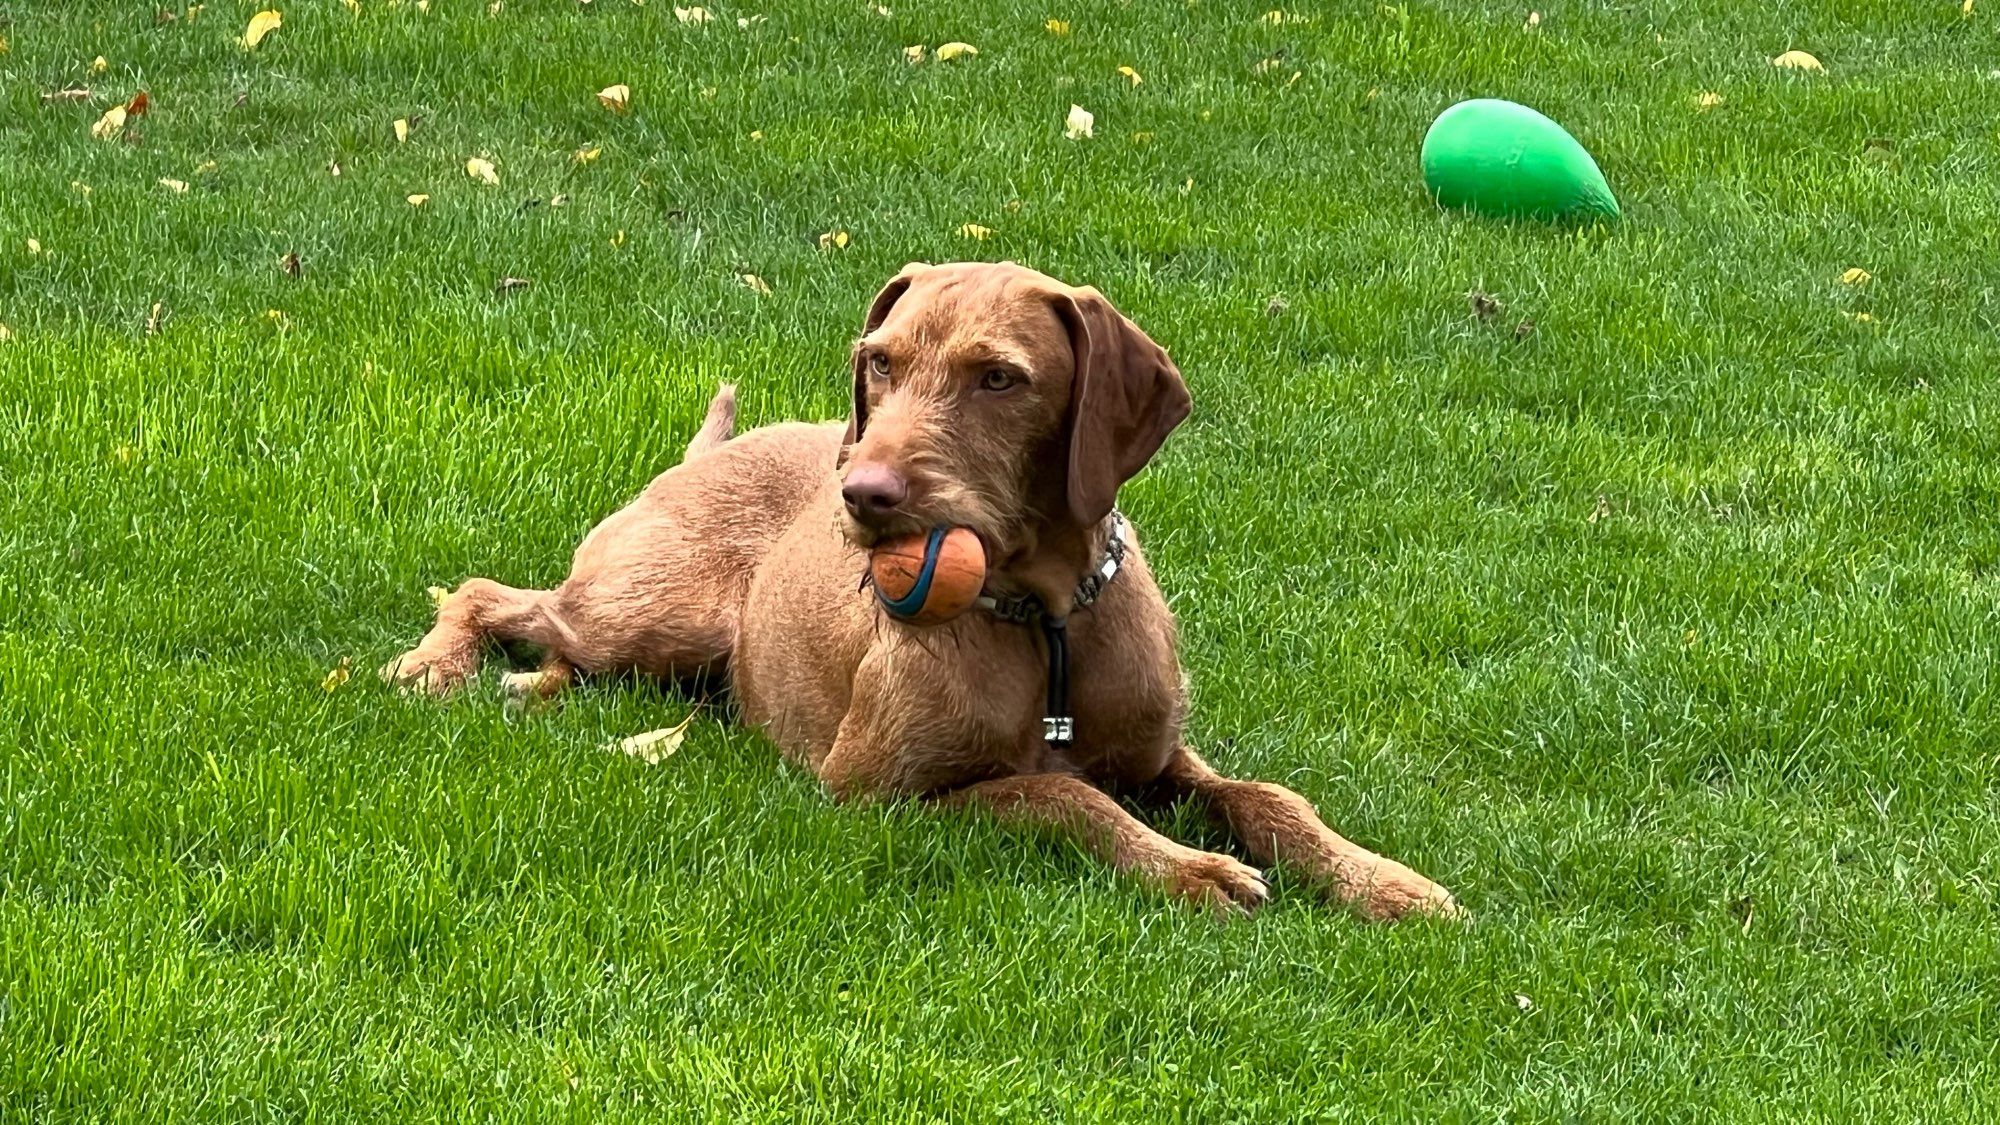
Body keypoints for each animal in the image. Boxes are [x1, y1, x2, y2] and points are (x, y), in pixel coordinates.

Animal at [382, 262, 1464, 920]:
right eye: (879, 361)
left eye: (999, 378)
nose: (861, 495)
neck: (1044, 621)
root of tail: (708, 452)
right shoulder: (877, 793)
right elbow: (1055, 793)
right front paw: (1192, 868)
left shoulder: (1159, 757)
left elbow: (1265, 796)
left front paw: (1383, 881)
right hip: (651, 614)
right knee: (489, 590)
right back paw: (436, 665)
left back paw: (533, 686)